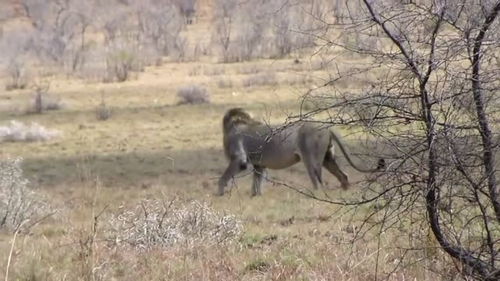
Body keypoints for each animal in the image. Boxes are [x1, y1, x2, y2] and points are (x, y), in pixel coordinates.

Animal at [217, 107, 384, 195]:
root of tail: (328, 128)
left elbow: (224, 177)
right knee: (343, 175)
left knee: (318, 180)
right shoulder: (259, 164)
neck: (230, 129)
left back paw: (315, 195)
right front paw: (256, 197)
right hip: (327, 158)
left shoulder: (239, 159)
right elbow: (257, 182)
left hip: (310, 158)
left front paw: (219, 194)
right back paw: (345, 193)